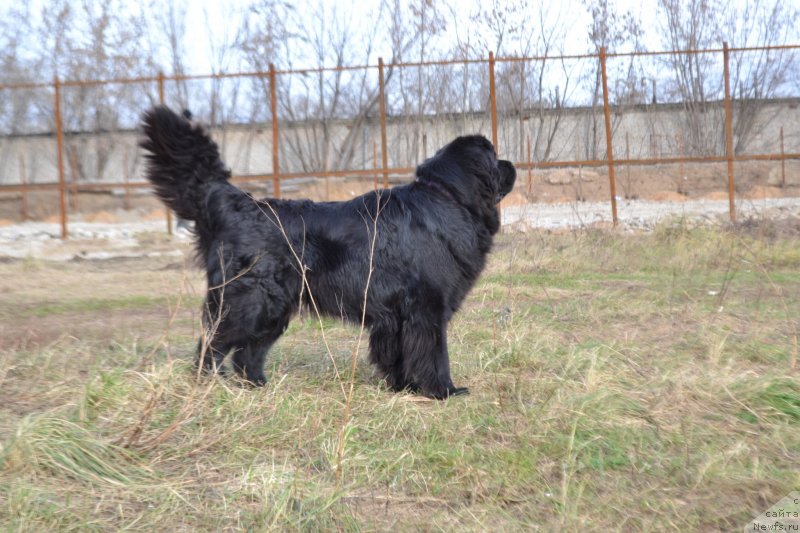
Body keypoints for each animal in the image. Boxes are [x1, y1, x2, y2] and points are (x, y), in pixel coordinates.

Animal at [140, 107, 516, 400]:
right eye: (494, 158)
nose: (511, 164)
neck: (446, 198)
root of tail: (236, 204)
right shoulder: (426, 308)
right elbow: (434, 354)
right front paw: (443, 391)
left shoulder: (396, 316)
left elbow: (398, 354)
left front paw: (403, 387)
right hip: (249, 300)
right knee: (213, 343)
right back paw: (209, 386)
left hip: (274, 307)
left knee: (247, 352)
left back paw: (259, 386)